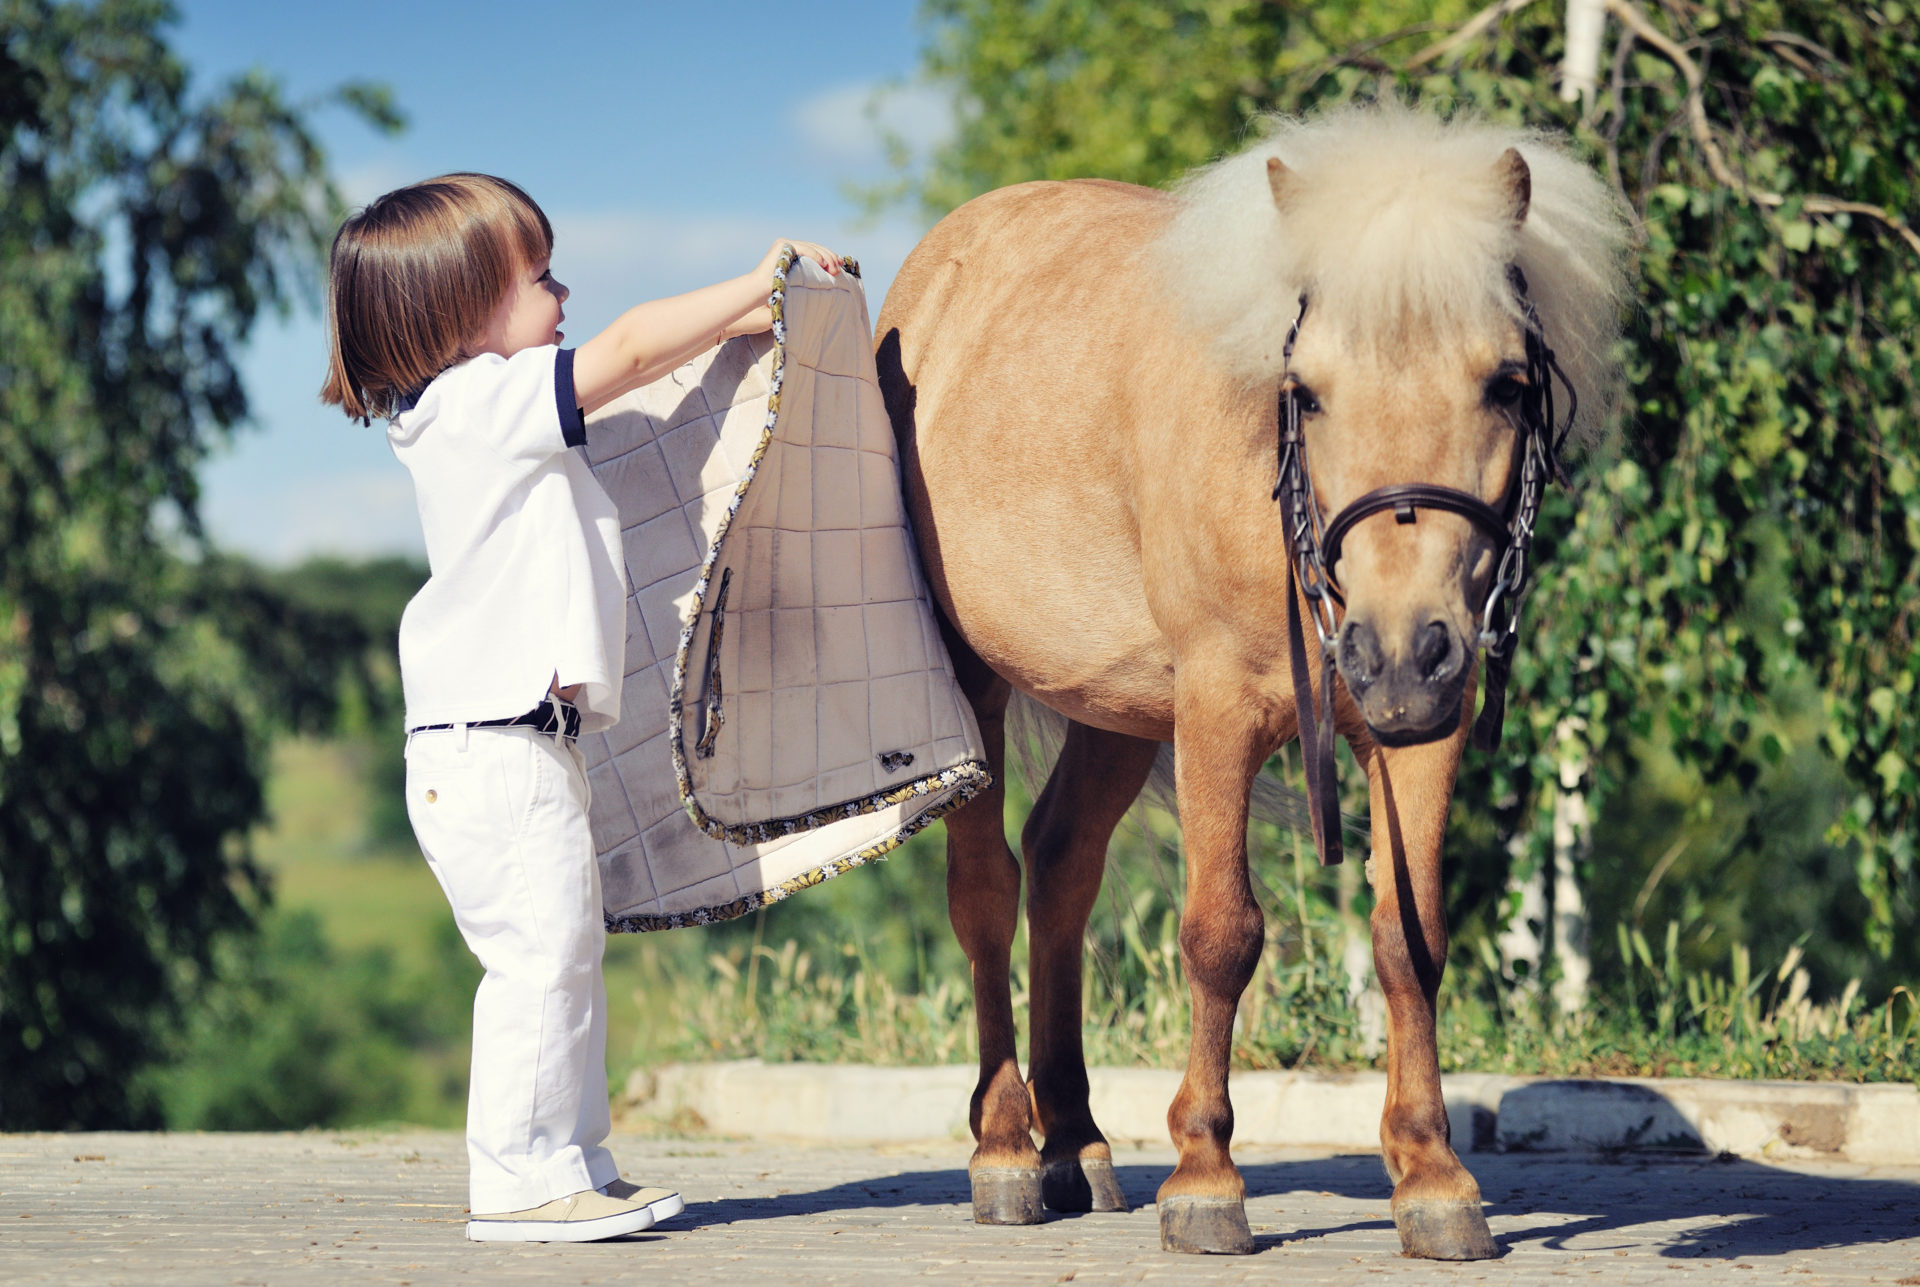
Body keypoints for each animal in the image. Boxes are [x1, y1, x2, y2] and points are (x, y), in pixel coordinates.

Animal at [879, 105, 1628, 1267]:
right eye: (1306, 392)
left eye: (1507, 382)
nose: (1398, 651)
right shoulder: (1220, 713)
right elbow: (1221, 934)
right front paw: (1204, 1179)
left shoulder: (1420, 733)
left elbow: (1408, 939)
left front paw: (1433, 1178)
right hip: (979, 683)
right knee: (987, 893)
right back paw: (1005, 1150)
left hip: (1119, 710)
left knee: (1060, 870)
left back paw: (1075, 1142)